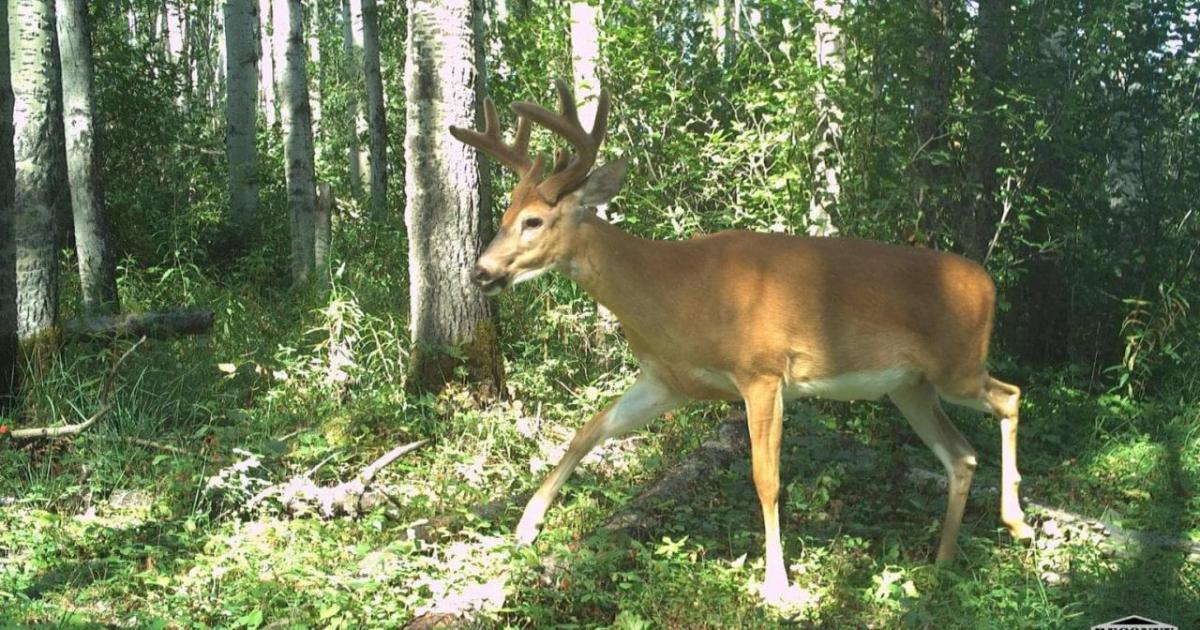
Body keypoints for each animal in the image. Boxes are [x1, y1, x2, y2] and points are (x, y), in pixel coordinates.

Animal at [448, 81, 1032, 602]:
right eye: (503, 216)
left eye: (533, 220)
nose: (481, 271)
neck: (675, 290)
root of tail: (988, 281)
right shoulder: (667, 380)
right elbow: (588, 430)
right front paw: (527, 525)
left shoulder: (763, 373)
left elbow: (765, 478)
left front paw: (776, 584)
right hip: (909, 386)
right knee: (961, 456)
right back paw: (943, 562)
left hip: (957, 365)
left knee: (1010, 396)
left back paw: (1017, 522)